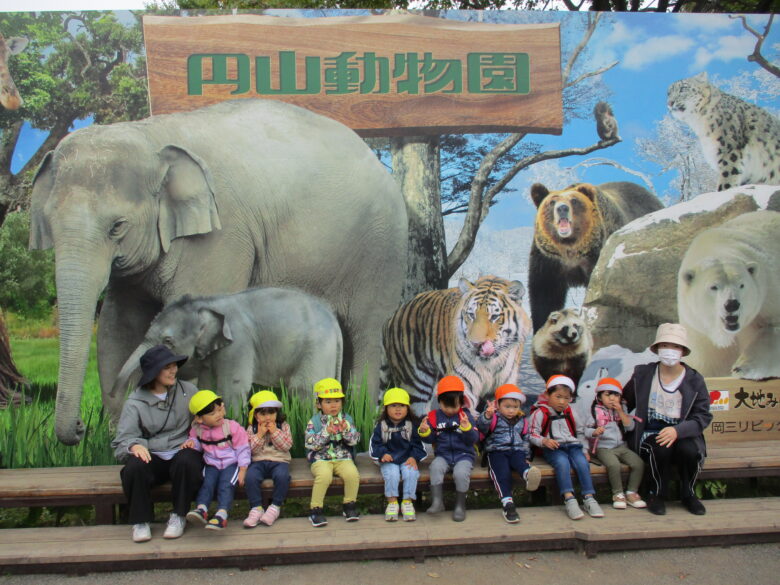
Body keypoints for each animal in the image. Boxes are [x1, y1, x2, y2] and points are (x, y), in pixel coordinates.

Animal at [111, 288, 342, 410]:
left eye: (168, 341)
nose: (114, 396)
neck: (208, 303)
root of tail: (335, 324)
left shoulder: (238, 343)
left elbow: (233, 387)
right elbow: (207, 386)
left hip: (318, 349)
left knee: (304, 388)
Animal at [382, 274, 532, 416]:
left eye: (494, 317)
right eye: (471, 315)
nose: (476, 344)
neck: (491, 362)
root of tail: (393, 316)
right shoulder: (464, 384)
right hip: (414, 385)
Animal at [528, 180, 660, 330]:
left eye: (574, 200)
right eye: (552, 202)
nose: (562, 208)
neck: (571, 249)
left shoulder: (596, 258)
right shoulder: (548, 261)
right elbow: (545, 297)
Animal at [676, 210, 780, 378]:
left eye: (741, 285)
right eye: (713, 287)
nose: (732, 304)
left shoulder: (767, 299)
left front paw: (742, 367)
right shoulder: (700, 332)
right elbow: (705, 364)